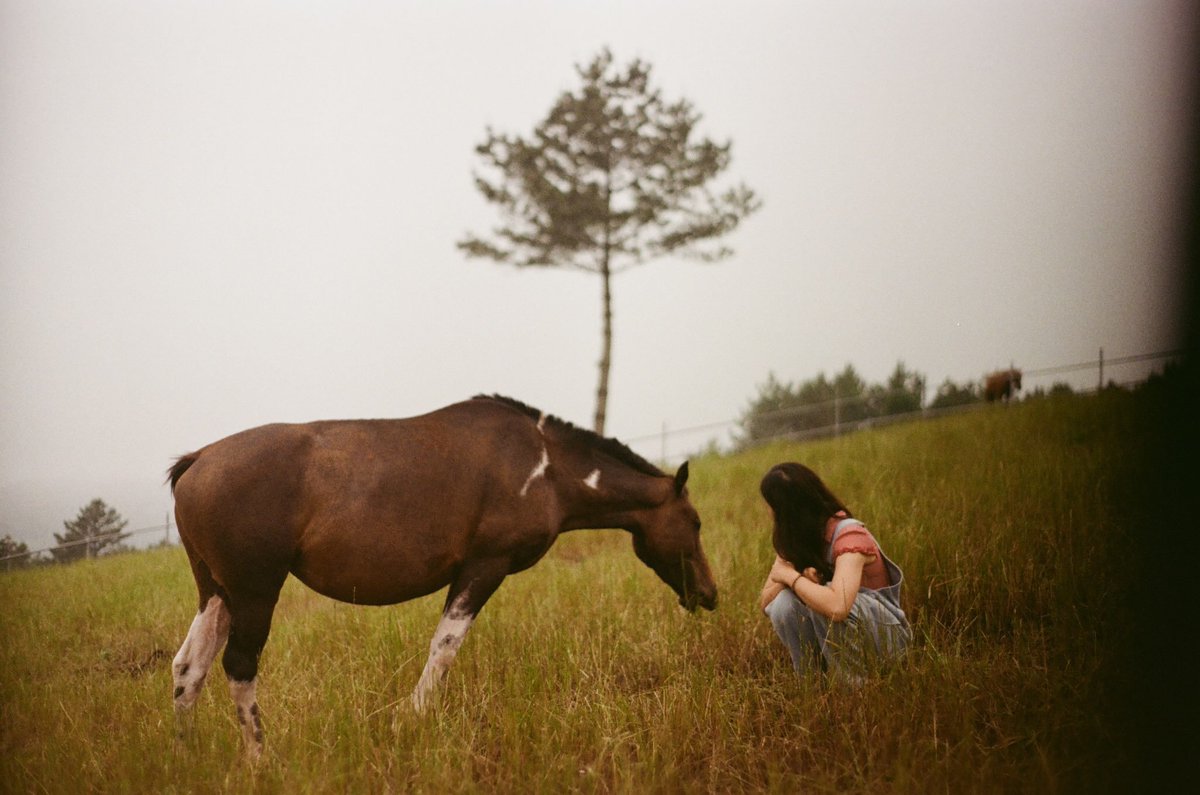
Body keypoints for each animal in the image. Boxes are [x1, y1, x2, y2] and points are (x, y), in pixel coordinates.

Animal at [167, 394, 717, 758]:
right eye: (694, 522)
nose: (711, 594)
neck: (545, 465)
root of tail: (199, 460)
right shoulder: (484, 565)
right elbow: (446, 646)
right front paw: (407, 719)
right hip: (254, 591)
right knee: (238, 666)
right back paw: (261, 760)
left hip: (216, 592)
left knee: (188, 667)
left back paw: (186, 755)